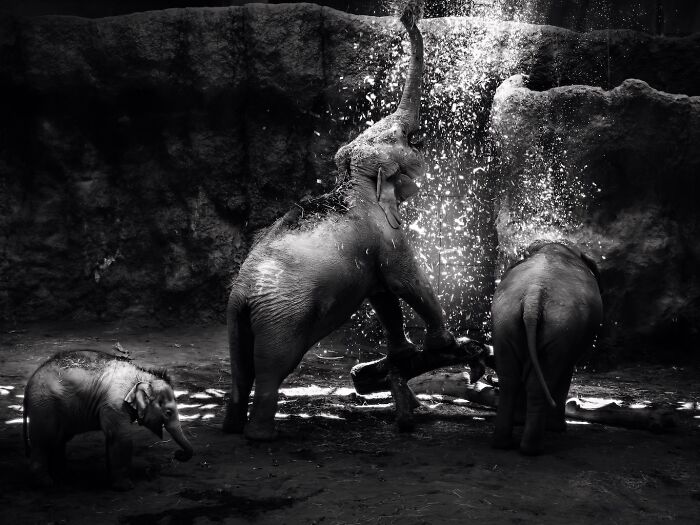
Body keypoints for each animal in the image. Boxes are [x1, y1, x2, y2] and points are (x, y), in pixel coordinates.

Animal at [24, 350, 193, 490]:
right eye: (169, 412)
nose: (177, 454)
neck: (141, 376)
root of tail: (29, 384)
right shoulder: (115, 403)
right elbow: (121, 437)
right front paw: (125, 487)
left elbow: (112, 438)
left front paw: (112, 479)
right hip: (44, 405)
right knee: (44, 440)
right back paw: (45, 483)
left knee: (58, 440)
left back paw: (62, 476)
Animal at [220, 2, 460, 440]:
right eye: (404, 136)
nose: (408, 14)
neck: (353, 180)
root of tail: (242, 294)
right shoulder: (385, 233)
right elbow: (402, 280)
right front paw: (443, 343)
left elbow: (381, 294)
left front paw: (404, 354)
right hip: (283, 319)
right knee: (272, 368)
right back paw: (263, 435)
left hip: (235, 321)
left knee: (240, 369)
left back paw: (231, 427)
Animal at [492, 239, 600, 452]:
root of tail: (534, 294)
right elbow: (565, 375)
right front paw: (558, 428)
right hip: (560, 328)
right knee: (543, 380)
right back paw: (533, 448)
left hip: (505, 320)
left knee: (509, 379)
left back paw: (503, 443)